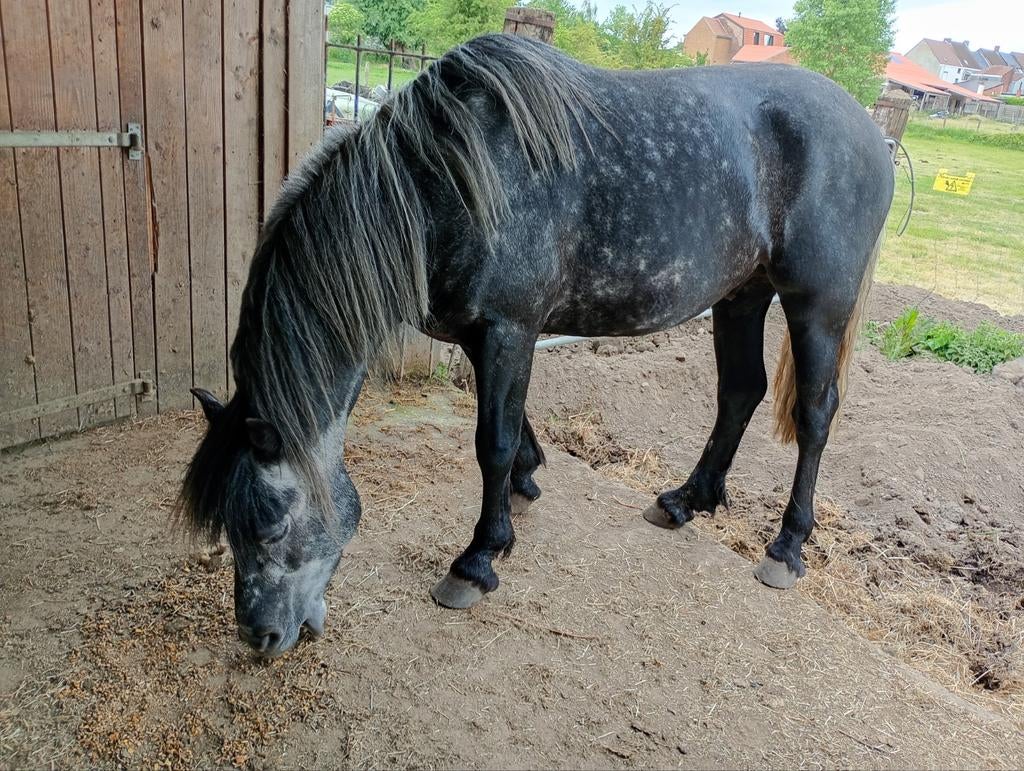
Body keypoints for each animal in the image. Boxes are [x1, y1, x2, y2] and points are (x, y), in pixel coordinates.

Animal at [179, 34, 894, 657]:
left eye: (271, 523)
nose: (260, 635)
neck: (444, 182)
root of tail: (871, 132)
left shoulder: (508, 328)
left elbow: (490, 443)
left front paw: (477, 560)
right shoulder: (483, 336)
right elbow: (513, 425)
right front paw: (525, 486)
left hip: (817, 305)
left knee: (815, 414)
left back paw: (786, 548)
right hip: (742, 293)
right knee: (740, 391)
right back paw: (685, 501)